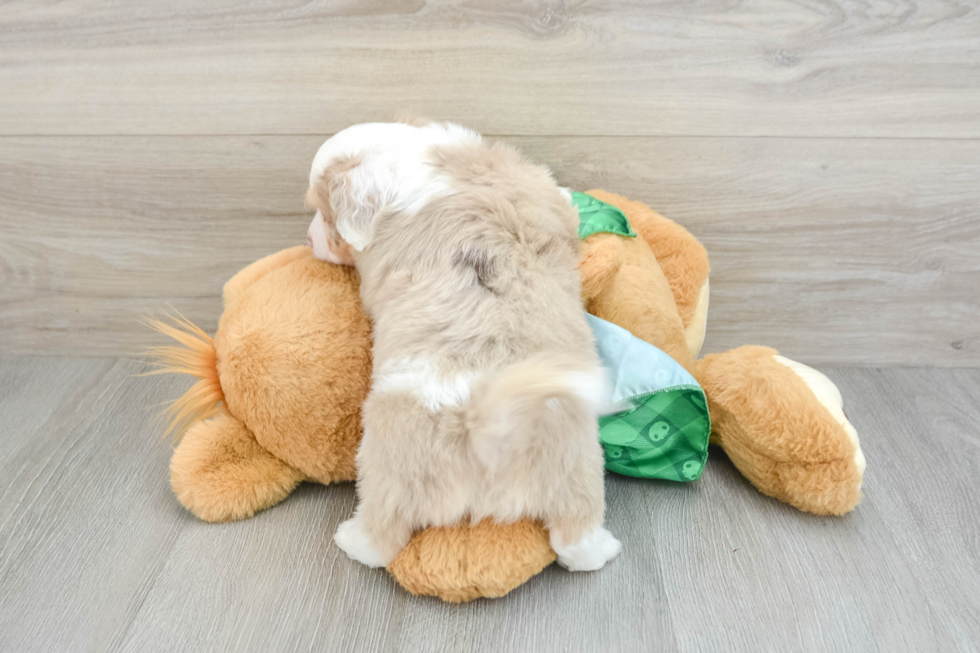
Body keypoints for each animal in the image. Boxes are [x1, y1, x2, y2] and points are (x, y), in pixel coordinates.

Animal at [306, 121, 620, 572]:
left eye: (325, 214)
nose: (307, 238)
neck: (410, 153)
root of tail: (491, 428)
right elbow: (561, 199)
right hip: (576, 465)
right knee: (576, 537)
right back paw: (600, 549)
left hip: (389, 465)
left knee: (383, 530)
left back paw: (352, 540)